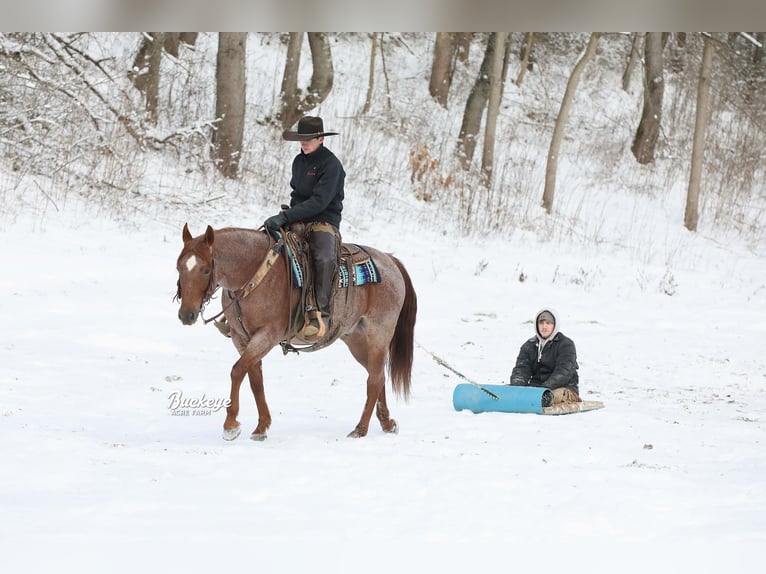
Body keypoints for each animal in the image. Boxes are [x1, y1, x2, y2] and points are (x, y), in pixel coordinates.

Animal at [176, 224, 420, 440]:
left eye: (205, 269)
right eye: (179, 267)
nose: (186, 314)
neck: (253, 274)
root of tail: (390, 260)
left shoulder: (267, 335)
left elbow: (237, 371)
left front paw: (230, 425)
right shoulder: (241, 338)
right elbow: (255, 379)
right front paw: (262, 427)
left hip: (379, 334)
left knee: (374, 380)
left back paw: (360, 430)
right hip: (356, 340)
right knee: (377, 376)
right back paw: (387, 423)